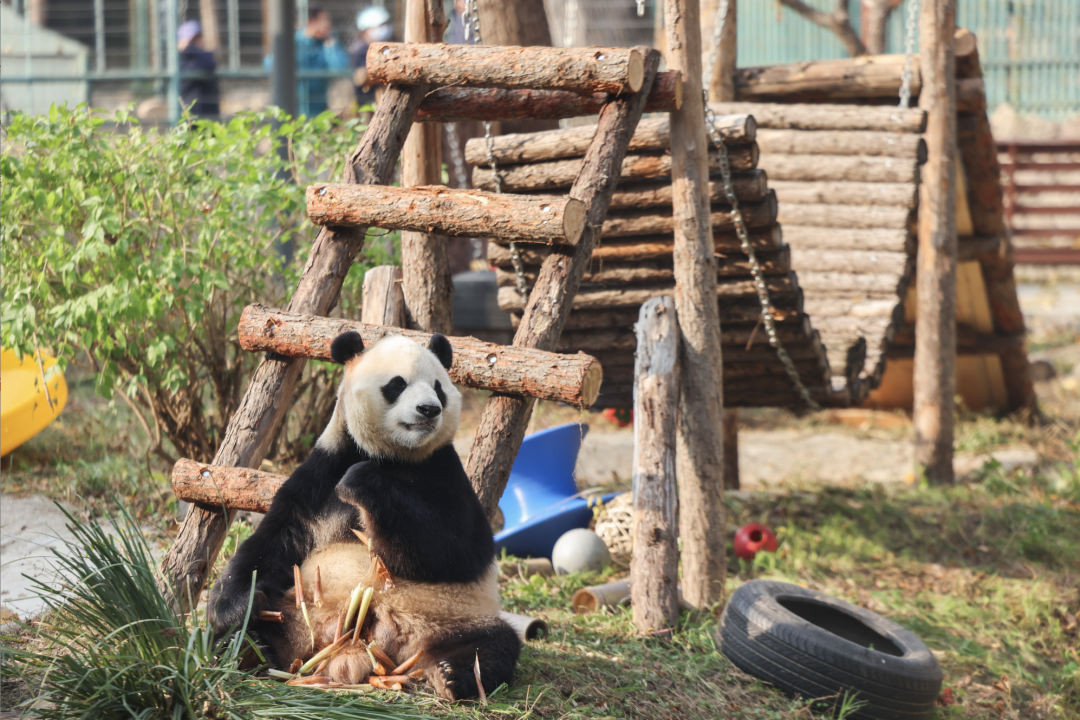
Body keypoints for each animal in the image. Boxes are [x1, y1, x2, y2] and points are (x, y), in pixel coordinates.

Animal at [211, 330, 522, 699]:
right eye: (397, 384)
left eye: (439, 387)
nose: (429, 409)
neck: (390, 455)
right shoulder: (322, 471)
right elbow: (274, 541)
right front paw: (236, 606)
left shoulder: (446, 472)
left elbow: (457, 548)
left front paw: (361, 481)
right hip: (293, 613)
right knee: (248, 629)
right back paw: (248, 647)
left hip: (456, 617)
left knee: (493, 644)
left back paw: (451, 675)